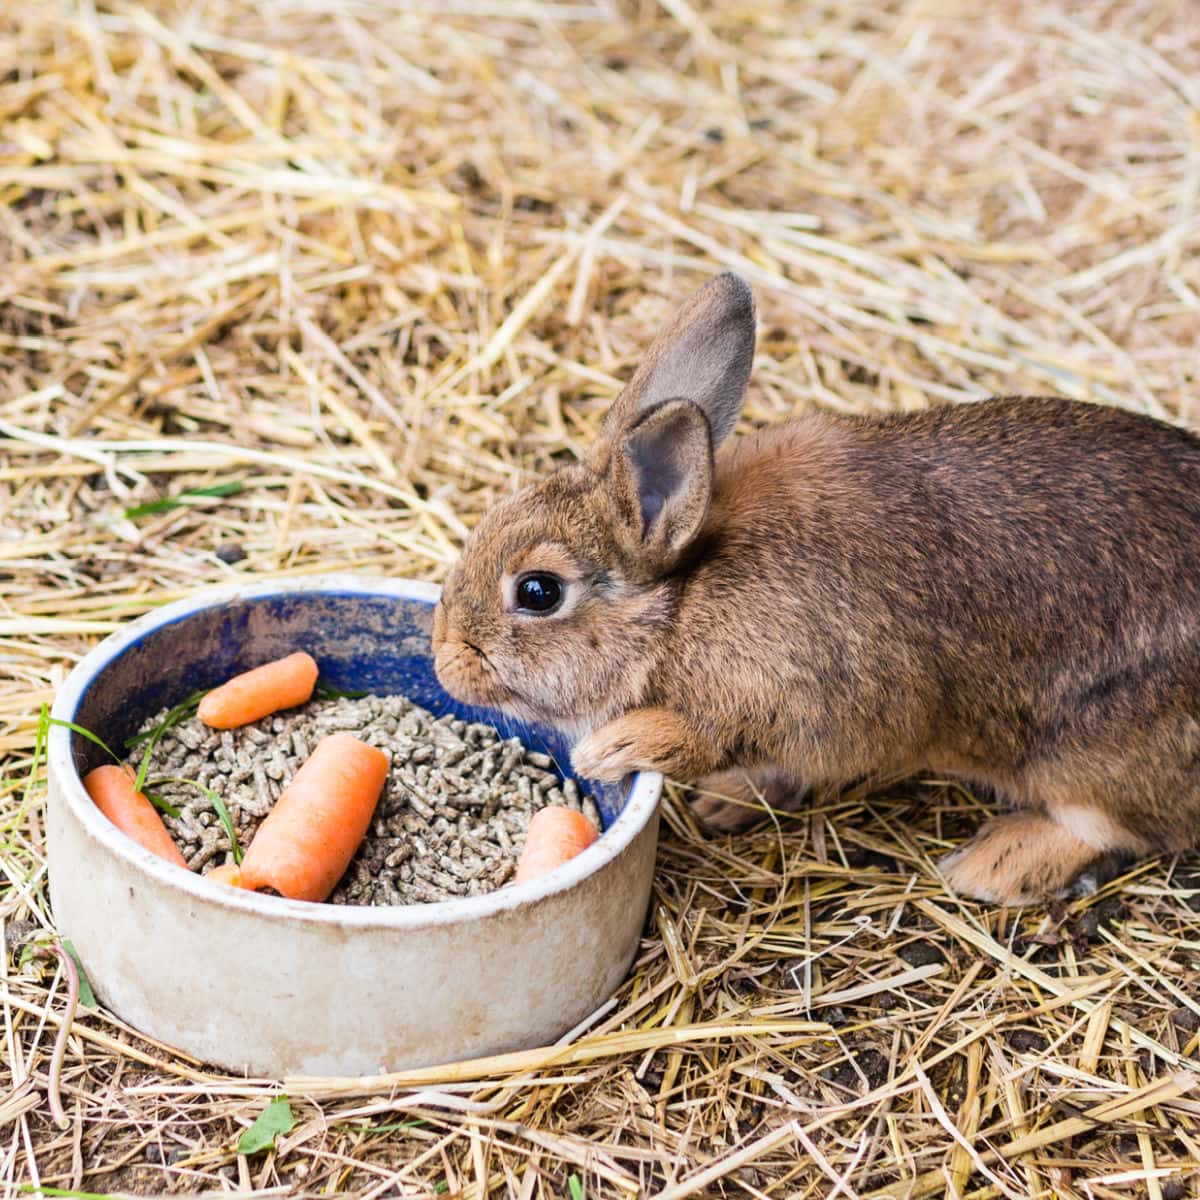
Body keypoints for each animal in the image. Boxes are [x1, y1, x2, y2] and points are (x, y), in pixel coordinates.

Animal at [436, 272, 1200, 902]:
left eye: (538, 592)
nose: (444, 661)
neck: (683, 603)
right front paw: (724, 800)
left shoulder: (816, 696)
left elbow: (716, 734)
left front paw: (619, 746)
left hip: (1092, 756)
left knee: (1116, 828)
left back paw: (994, 866)